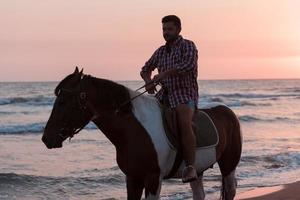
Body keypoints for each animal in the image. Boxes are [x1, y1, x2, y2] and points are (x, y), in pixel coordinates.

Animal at [42, 67, 243, 200]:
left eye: (63, 101)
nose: (46, 138)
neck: (134, 131)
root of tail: (228, 112)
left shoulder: (153, 179)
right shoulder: (132, 178)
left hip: (228, 165)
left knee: (230, 190)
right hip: (198, 170)